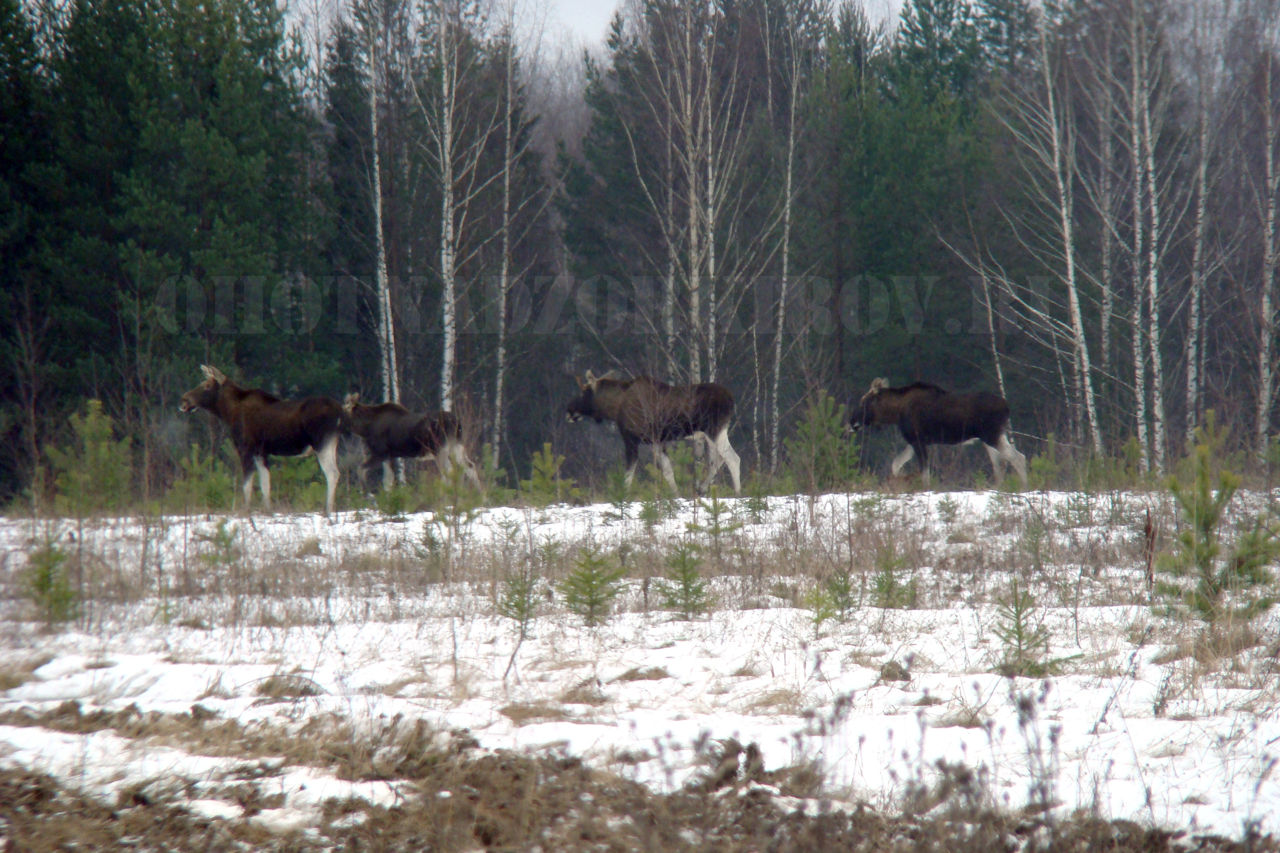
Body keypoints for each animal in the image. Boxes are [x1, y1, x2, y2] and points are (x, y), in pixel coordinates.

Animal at [177, 363, 345, 512]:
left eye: (206, 385)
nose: (184, 400)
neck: (227, 413)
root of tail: (340, 411)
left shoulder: (246, 449)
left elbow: (247, 485)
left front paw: (246, 510)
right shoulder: (261, 452)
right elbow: (265, 484)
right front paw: (267, 510)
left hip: (321, 443)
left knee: (332, 472)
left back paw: (328, 509)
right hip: (331, 444)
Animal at [340, 394, 481, 491]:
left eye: (341, 411)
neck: (365, 428)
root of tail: (458, 423)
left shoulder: (380, 453)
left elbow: (360, 469)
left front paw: (367, 494)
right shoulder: (390, 455)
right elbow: (388, 481)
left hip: (439, 448)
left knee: (449, 471)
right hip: (456, 446)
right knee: (469, 466)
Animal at [568, 371, 747, 491]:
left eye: (583, 391)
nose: (569, 410)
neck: (614, 408)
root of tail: (731, 399)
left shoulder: (631, 439)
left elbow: (628, 475)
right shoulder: (657, 441)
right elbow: (668, 471)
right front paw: (676, 495)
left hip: (713, 430)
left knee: (732, 458)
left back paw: (737, 492)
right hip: (715, 433)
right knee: (717, 460)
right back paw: (702, 488)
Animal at [849, 379, 1029, 484]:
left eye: (864, 402)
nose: (852, 422)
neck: (896, 413)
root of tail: (1007, 407)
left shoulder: (918, 441)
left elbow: (924, 473)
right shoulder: (914, 442)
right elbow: (896, 464)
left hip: (991, 435)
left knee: (1018, 457)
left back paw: (1023, 486)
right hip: (993, 437)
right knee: (999, 464)